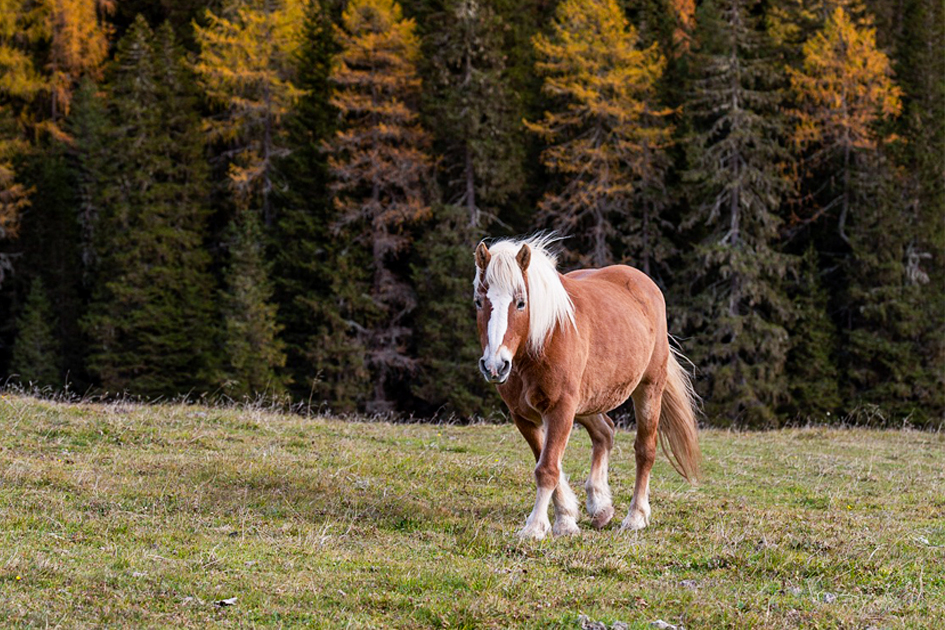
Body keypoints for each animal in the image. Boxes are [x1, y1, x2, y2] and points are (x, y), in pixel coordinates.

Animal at [473, 235, 700, 539]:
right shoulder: (524, 416)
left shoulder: (560, 409)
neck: (545, 338)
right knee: (604, 433)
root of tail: (644, 283)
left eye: (521, 303)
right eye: (479, 302)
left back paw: (636, 516)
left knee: (644, 449)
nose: (495, 365)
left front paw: (535, 527)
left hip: (648, 388)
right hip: (587, 401)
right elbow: (550, 464)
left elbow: (547, 468)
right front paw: (566, 519)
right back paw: (600, 506)